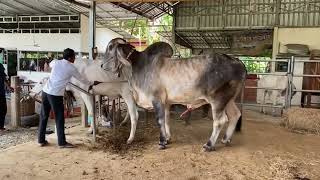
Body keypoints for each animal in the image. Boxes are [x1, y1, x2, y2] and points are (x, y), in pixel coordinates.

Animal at [102, 38, 245, 151]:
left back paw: (209, 145)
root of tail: (238, 61)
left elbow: (159, 120)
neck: (138, 66)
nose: (102, 65)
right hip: (229, 100)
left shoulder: (156, 98)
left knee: (220, 121)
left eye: (110, 47)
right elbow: (166, 120)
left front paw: (161, 142)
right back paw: (226, 139)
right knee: (235, 114)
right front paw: (167, 138)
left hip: (218, 100)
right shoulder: (166, 102)